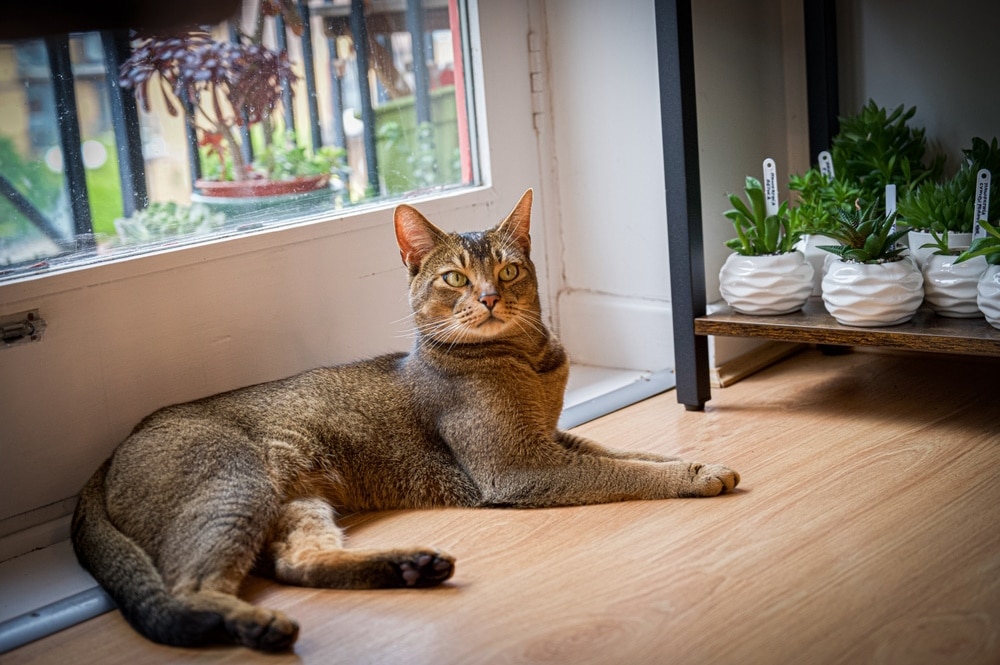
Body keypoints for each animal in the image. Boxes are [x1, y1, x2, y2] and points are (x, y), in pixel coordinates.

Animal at [70, 189, 740, 652]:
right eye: (454, 277)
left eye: (509, 270)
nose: (489, 298)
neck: (528, 360)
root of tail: (110, 454)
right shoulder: (518, 467)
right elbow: (623, 472)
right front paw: (693, 476)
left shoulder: (551, 437)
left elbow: (627, 454)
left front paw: (699, 460)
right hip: (235, 483)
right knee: (187, 593)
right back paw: (260, 626)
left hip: (294, 499)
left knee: (295, 564)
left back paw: (411, 566)